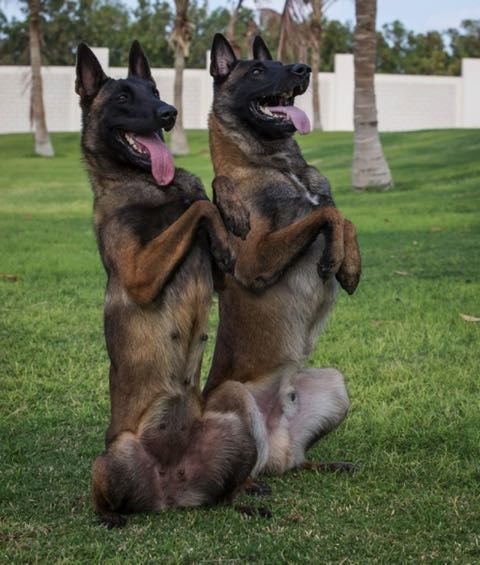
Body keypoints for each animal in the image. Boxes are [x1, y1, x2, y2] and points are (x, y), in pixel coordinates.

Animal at [76, 39, 268, 524]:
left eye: (156, 91)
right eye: (124, 98)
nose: (168, 113)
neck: (149, 185)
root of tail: (170, 494)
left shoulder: (221, 276)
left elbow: (208, 190)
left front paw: (231, 211)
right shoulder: (140, 274)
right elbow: (196, 206)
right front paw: (215, 217)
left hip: (234, 430)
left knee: (226, 489)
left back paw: (246, 495)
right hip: (115, 453)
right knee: (104, 497)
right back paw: (110, 518)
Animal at [202, 35, 360, 474]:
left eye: (278, 62)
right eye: (257, 70)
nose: (303, 68)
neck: (277, 163)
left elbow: (341, 216)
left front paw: (349, 265)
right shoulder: (254, 260)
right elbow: (326, 214)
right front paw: (334, 258)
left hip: (334, 383)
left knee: (295, 461)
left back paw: (322, 465)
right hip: (235, 396)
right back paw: (250, 486)